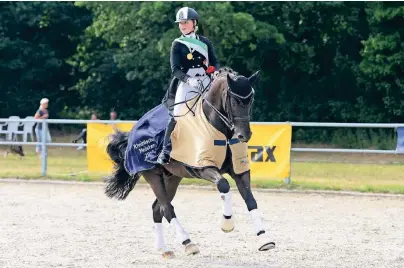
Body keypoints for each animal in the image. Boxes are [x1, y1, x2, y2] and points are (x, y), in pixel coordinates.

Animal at [102, 68, 276, 258]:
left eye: (251, 99)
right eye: (234, 100)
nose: (244, 135)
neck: (217, 128)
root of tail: (133, 131)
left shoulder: (239, 169)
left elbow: (250, 199)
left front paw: (264, 238)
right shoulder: (203, 167)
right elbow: (223, 185)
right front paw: (227, 223)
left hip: (172, 177)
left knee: (158, 208)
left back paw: (164, 249)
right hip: (152, 175)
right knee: (167, 208)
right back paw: (188, 242)